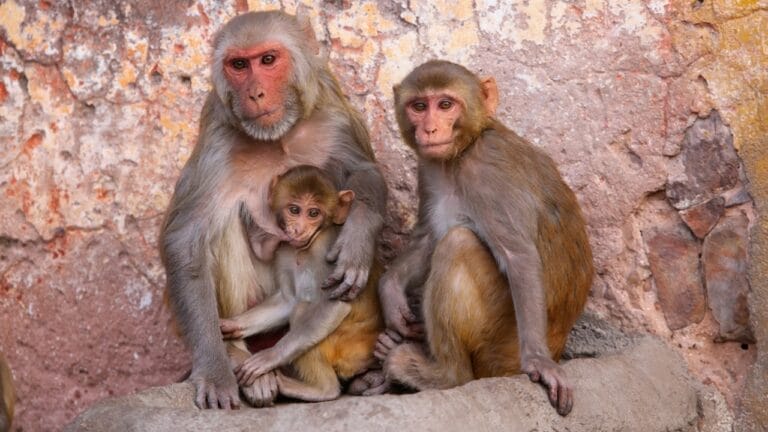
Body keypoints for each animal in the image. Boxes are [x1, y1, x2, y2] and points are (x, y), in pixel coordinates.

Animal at [219, 165, 383, 404]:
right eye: (294, 210)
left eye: (314, 213)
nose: (298, 229)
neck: (307, 247)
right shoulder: (284, 251)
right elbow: (288, 300)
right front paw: (233, 325)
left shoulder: (327, 251)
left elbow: (334, 305)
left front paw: (269, 357)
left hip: (351, 346)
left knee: (303, 311)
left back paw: (321, 389)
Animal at [371, 60, 593, 416]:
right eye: (419, 106)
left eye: (445, 104)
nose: (430, 129)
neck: (462, 153)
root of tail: (560, 343)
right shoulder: (428, 170)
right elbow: (428, 237)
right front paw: (390, 292)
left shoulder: (489, 173)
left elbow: (519, 257)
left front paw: (539, 361)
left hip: (501, 345)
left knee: (458, 243)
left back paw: (440, 373)